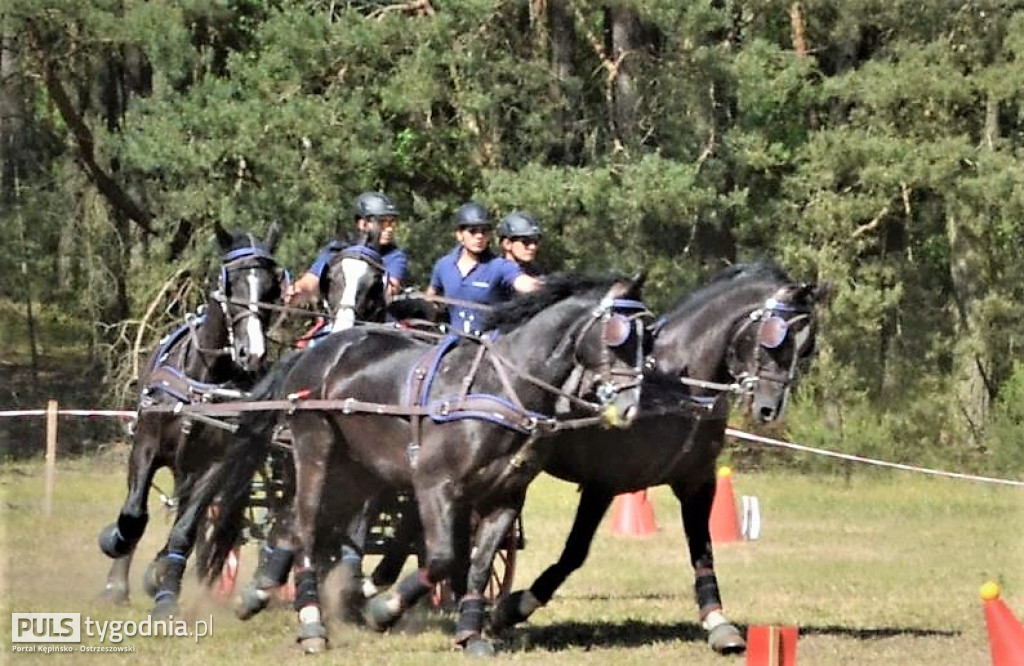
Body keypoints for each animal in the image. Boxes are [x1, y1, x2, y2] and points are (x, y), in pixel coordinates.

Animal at [98, 221, 282, 606]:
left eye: (272, 287)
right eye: (231, 283)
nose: (253, 353)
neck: (205, 380)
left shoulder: (214, 465)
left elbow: (186, 529)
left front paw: (164, 582)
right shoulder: (146, 446)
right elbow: (133, 515)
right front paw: (115, 564)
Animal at [191, 272, 647, 651]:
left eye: (647, 337)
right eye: (618, 336)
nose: (629, 408)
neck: (500, 388)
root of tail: (318, 352)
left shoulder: (504, 498)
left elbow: (478, 565)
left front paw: (471, 634)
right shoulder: (434, 484)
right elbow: (442, 556)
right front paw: (382, 610)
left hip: (355, 471)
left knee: (289, 523)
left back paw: (257, 594)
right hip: (315, 447)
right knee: (304, 527)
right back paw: (311, 624)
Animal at [481, 260, 831, 651]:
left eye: (807, 347)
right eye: (777, 339)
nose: (770, 410)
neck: (676, 388)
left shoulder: (697, 481)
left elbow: (702, 549)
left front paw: (718, 622)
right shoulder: (603, 482)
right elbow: (575, 552)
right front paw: (513, 608)